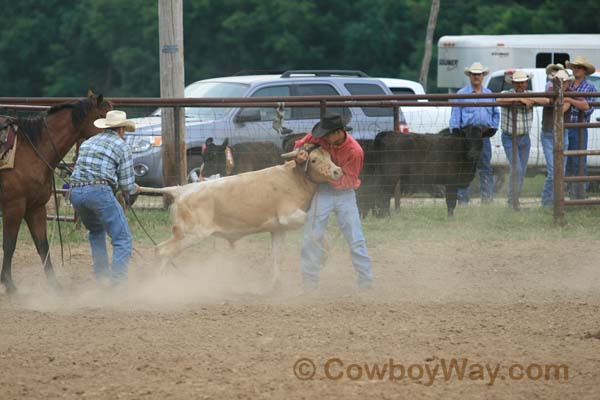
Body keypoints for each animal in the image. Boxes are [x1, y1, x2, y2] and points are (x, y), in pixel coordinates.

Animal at [0, 94, 112, 294]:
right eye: (101, 115)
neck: (32, 151)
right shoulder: (13, 206)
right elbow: (9, 244)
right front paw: (10, 285)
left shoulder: (35, 208)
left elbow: (42, 245)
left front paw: (54, 285)